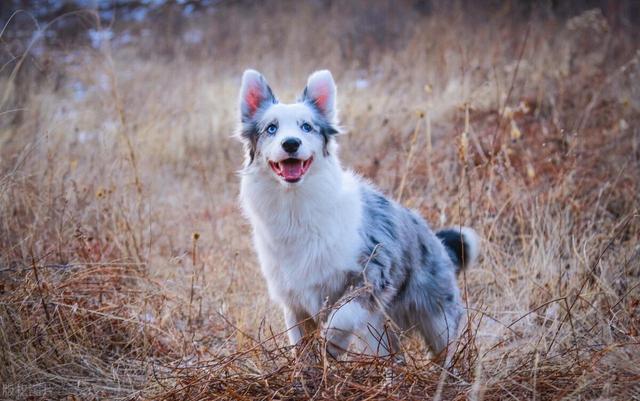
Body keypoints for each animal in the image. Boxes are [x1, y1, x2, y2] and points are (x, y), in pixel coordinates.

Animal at [238, 69, 478, 360]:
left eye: (306, 127)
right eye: (271, 128)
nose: (291, 143)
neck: (296, 205)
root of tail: (437, 241)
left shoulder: (372, 274)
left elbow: (340, 317)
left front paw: (332, 343)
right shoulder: (295, 303)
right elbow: (304, 350)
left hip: (437, 321)